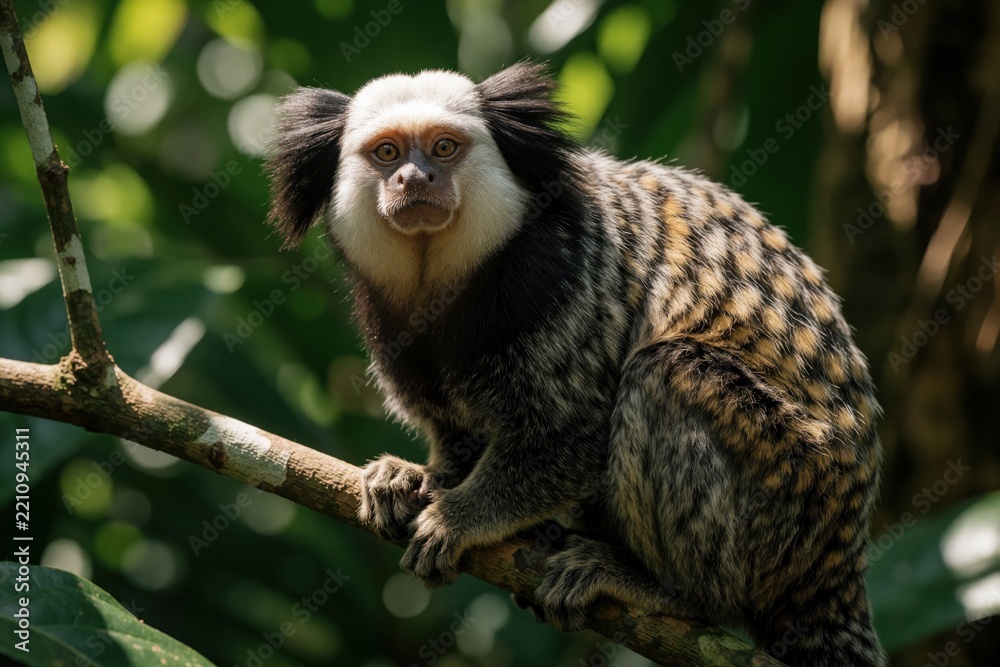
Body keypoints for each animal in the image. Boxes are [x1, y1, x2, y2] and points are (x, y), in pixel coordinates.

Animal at [264, 61, 886, 667]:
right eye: (388, 153)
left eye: (444, 148)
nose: (415, 180)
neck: (443, 277)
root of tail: (840, 562)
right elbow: (454, 429)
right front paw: (417, 477)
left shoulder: (557, 279)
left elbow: (571, 432)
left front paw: (459, 515)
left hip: (788, 493)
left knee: (665, 372)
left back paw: (669, 589)